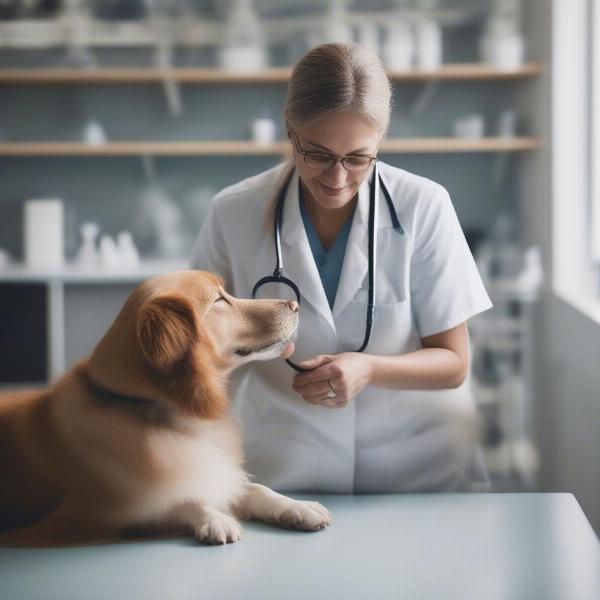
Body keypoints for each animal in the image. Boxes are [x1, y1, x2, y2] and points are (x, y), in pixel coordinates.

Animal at [0, 270, 332, 548]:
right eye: (219, 300)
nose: (294, 304)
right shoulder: (94, 516)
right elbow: (179, 500)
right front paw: (214, 517)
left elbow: (254, 488)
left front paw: (296, 506)